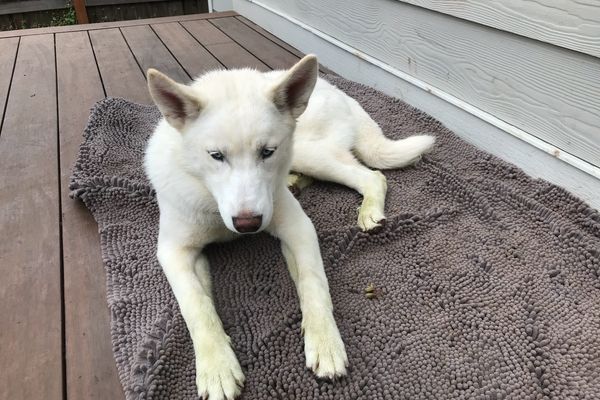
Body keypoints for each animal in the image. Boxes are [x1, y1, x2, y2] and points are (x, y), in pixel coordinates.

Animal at [144, 54, 434, 399]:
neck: (212, 204)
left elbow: (314, 284)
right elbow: (196, 306)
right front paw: (217, 367)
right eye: (216, 156)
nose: (248, 224)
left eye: (267, 152)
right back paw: (297, 182)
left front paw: (325, 343)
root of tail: (337, 89)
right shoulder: (174, 251)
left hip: (310, 152)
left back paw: (369, 212)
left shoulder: (299, 227)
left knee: (373, 176)